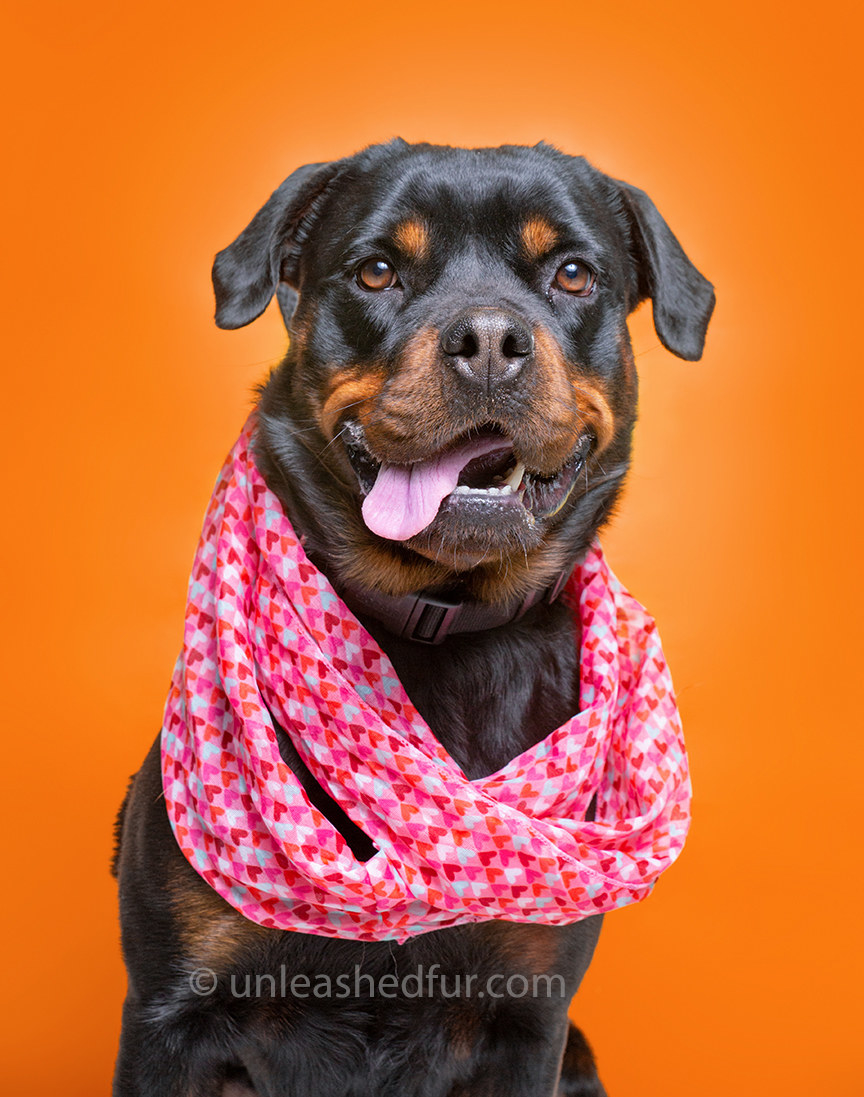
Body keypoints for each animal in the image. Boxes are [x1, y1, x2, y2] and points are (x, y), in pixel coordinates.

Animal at [111, 139, 710, 1097]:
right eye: (377, 270)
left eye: (573, 274)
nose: (490, 341)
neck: (441, 619)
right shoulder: (171, 1012)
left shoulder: (529, 1018)